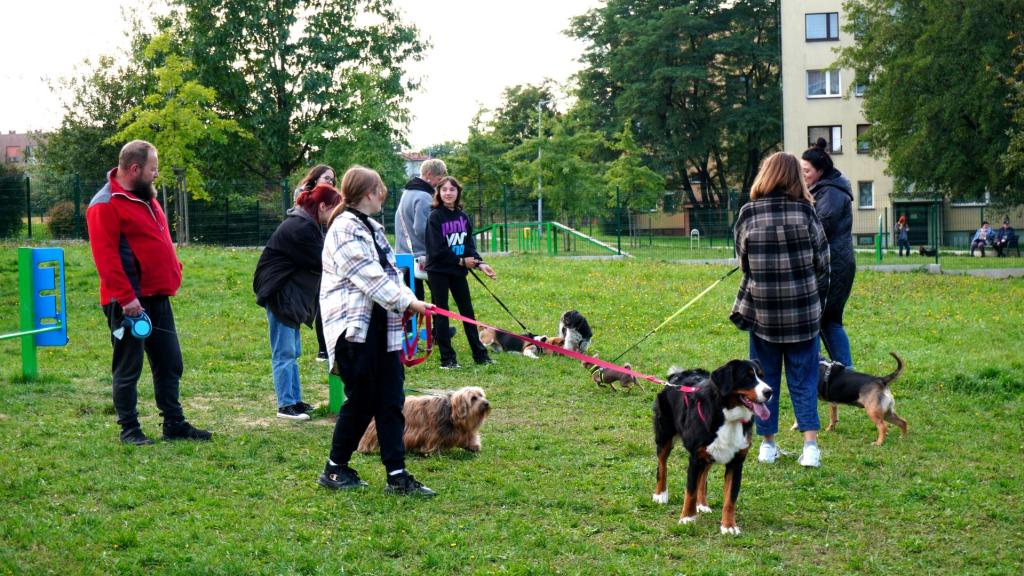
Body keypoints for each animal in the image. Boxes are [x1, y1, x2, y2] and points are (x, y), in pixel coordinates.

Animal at [356, 385, 491, 453]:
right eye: (473, 398)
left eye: (481, 395)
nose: (486, 403)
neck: (452, 411)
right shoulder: (433, 432)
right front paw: (432, 451)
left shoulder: (464, 430)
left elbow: (470, 437)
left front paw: (473, 446)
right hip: (375, 428)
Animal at [655, 358, 770, 532]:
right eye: (747, 377)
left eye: (762, 376)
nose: (769, 392)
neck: (729, 418)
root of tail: (677, 375)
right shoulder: (695, 458)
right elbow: (690, 491)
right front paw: (687, 518)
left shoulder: (736, 462)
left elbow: (730, 499)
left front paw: (729, 526)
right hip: (665, 436)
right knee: (662, 465)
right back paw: (660, 495)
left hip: (709, 452)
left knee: (703, 476)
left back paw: (702, 504)